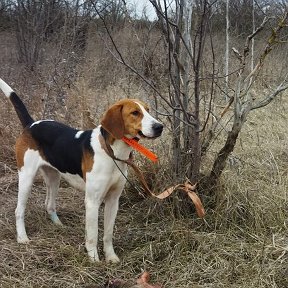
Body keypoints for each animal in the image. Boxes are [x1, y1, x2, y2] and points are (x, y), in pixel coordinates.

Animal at [0, 77, 163, 262]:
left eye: (148, 110)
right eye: (135, 113)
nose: (160, 126)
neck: (112, 152)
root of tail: (31, 124)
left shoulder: (113, 200)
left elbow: (108, 234)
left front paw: (111, 257)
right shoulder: (92, 202)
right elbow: (93, 234)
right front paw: (94, 259)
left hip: (54, 177)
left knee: (49, 204)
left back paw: (58, 225)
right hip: (26, 177)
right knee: (19, 210)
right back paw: (22, 238)